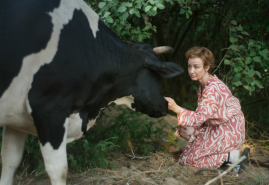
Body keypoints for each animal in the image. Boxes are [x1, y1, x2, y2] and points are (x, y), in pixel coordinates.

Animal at [0, 0, 182, 185]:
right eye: (158, 78)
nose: (166, 104)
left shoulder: (17, 118)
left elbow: (10, 160)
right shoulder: (50, 111)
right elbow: (58, 169)